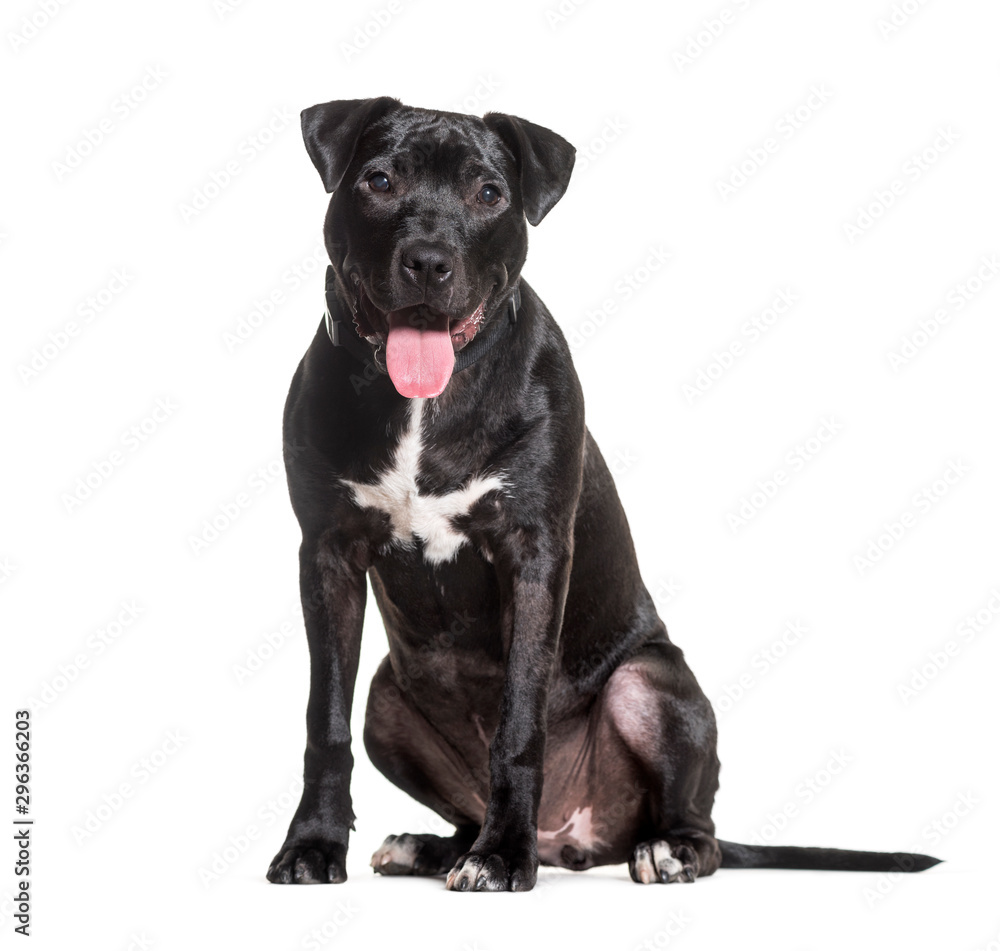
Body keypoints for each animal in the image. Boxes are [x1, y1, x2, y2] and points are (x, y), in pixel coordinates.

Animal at [266, 98, 936, 892]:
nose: (429, 261)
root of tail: (572, 838)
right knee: (441, 791)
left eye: (488, 194)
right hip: (387, 704)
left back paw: (656, 849)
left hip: (647, 682)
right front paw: (313, 844)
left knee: (699, 825)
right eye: (378, 180)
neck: (427, 403)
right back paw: (436, 847)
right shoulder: (328, 554)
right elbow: (324, 720)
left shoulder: (533, 554)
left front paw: (503, 855)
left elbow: (520, 722)